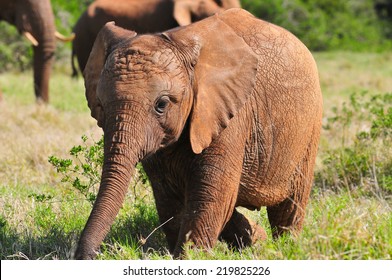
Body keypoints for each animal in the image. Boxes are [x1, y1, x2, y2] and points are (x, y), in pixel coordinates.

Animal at [75, 7, 324, 260]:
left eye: (161, 104)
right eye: (101, 105)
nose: (91, 254)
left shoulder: (230, 116)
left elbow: (212, 195)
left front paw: (191, 257)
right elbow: (171, 200)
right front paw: (254, 238)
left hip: (310, 126)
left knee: (290, 205)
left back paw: (286, 246)